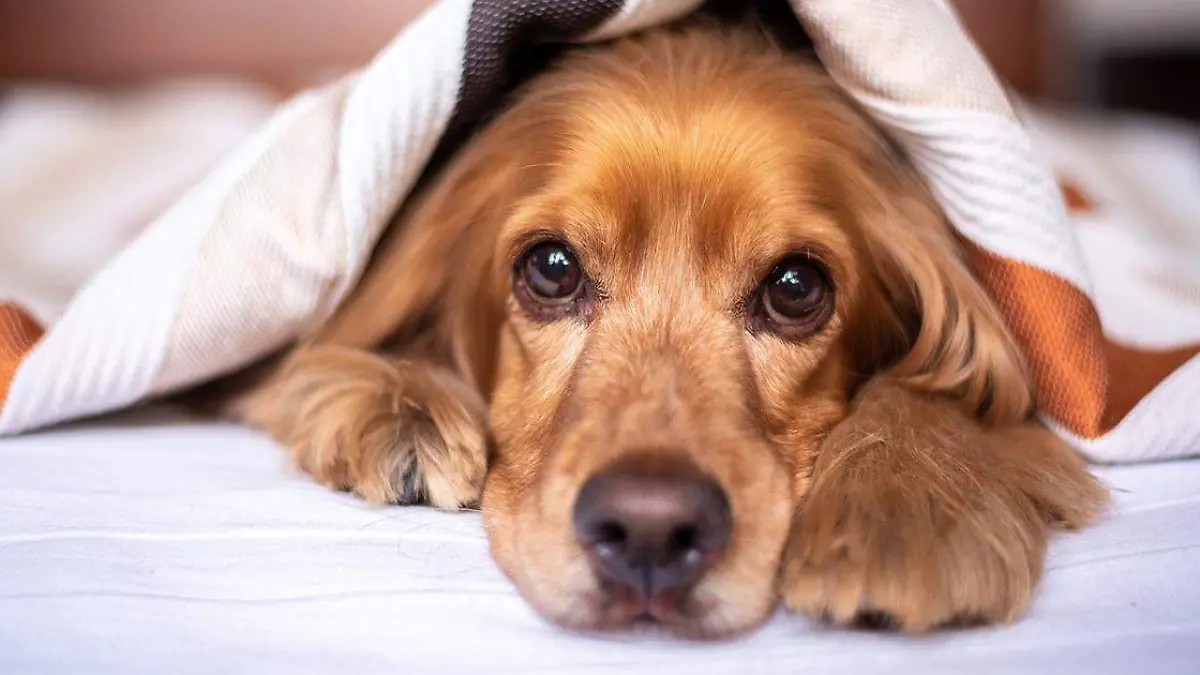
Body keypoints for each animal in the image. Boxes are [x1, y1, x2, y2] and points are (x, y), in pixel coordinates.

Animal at [223, 22, 1104, 634]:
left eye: (795, 287)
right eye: (552, 268)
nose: (649, 530)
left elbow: (952, 389)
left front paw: (900, 506)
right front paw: (402, 406)